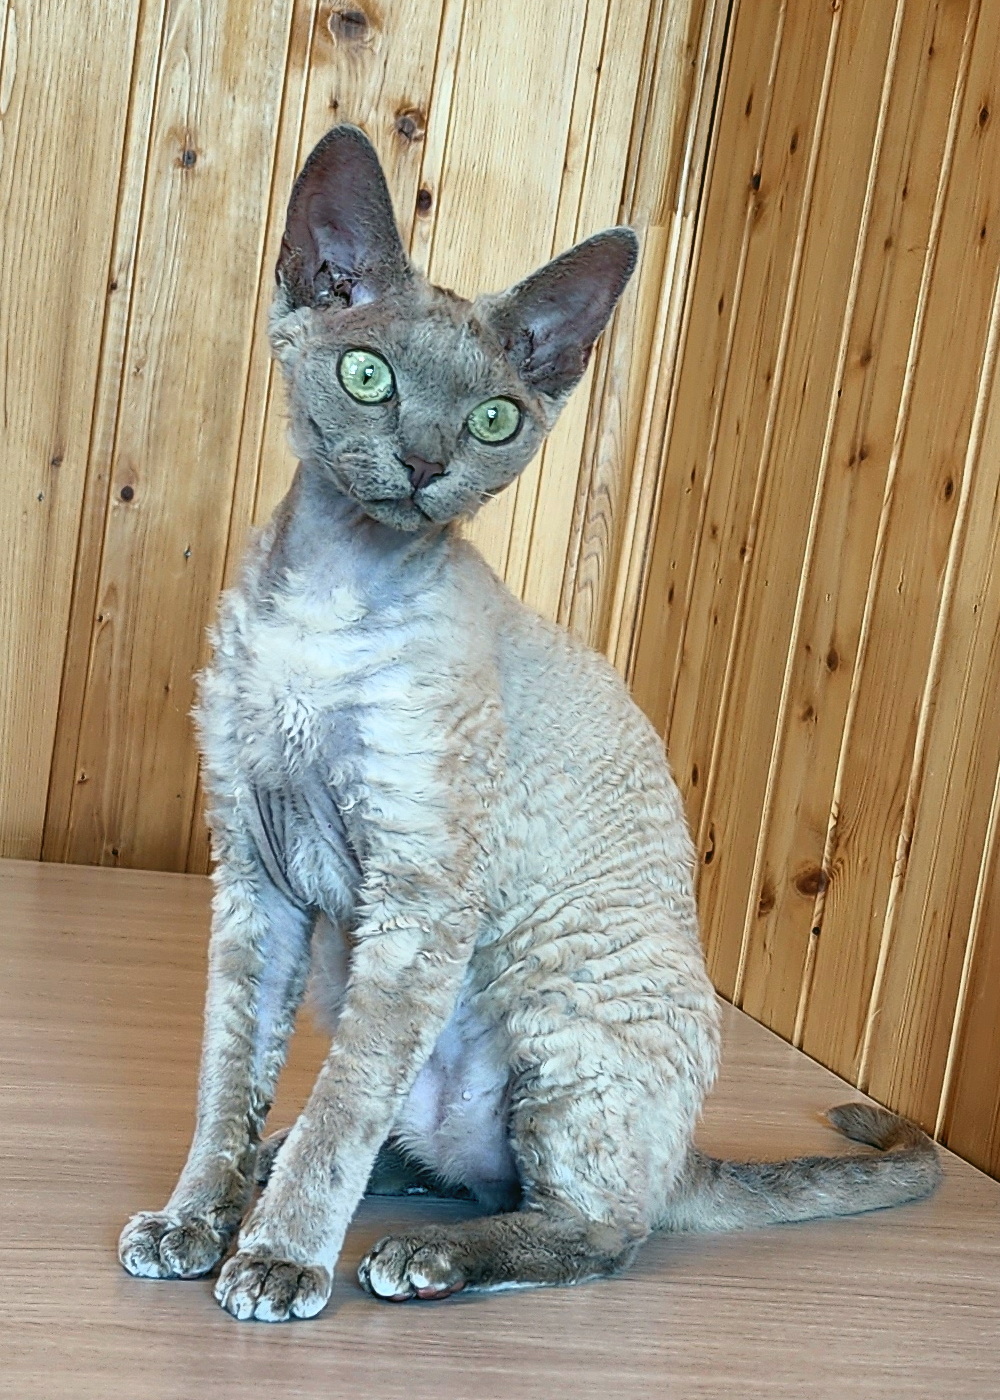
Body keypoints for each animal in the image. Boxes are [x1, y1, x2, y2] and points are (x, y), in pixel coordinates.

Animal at [118, 124, 941, 1322]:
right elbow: (230, 1081)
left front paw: (276, 1259)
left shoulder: (419, 894)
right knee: (433, 1152)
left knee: (595, 1227)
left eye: (494, 419)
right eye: (369, 377)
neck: (328, 602)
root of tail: (683, 1154)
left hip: (558, 1018)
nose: (424, 463)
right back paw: (304, 1180)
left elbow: (344, 1100)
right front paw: (193, 1218)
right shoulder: (256, 883)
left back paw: (422, 1257)